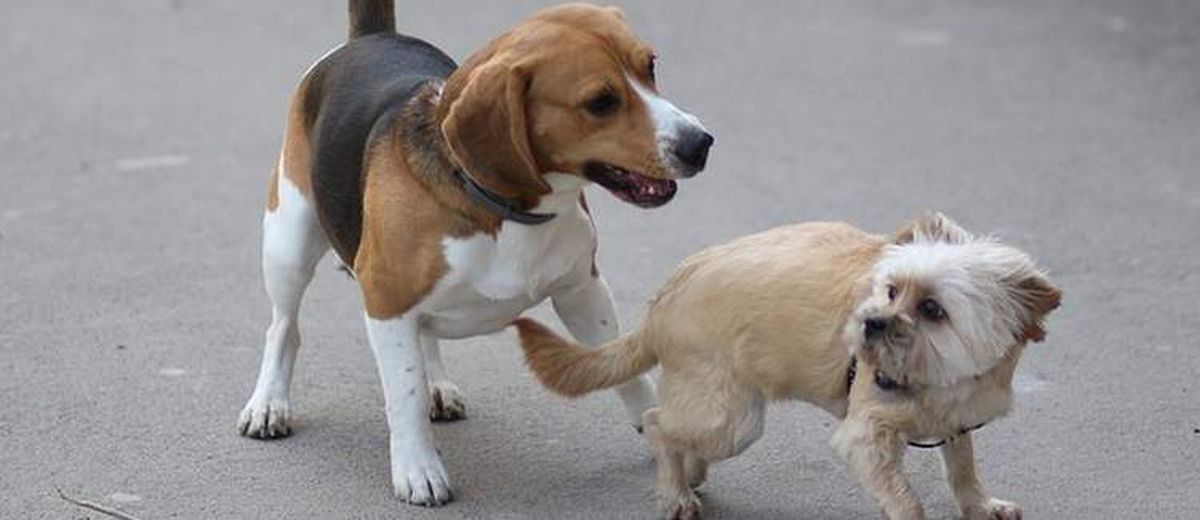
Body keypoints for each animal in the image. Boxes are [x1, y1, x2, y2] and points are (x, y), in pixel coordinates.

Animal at [234, 0, 710, 504]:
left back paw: (438, 386)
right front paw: (418, 469)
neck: (504, 209)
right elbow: (405, 395)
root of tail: (371, 38)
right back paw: (269, 403)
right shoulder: (386, 303)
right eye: (600, 102)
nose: (701, 143)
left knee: (424, 338)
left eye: (650, 67)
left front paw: (667, 441)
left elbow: (623, 367)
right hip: (289, 242)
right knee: (284, 328)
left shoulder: (583, 291)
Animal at [516, 211, 1060, 518]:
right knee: (656, 423)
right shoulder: (865, 439)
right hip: (729, 420)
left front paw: (980, 506)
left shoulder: (954, 426)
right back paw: (674, 493)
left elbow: (964, 471)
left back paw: (690, 474)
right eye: (890, 290)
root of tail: (664, 299)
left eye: (932, 310)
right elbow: (907, 499)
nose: (869, 323)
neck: (936, 380)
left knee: (676, 433)